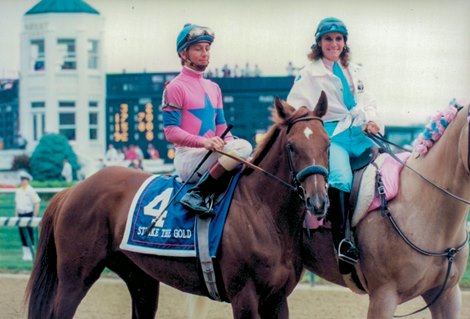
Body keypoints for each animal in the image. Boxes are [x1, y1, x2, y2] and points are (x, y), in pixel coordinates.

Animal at [25, 94, 330, 318]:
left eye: (327, 144)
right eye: (291, 147)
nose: (317, 202)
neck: (262, 213)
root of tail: (71, 190)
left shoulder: (277, 299)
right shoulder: (244, 296)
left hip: (140, 277)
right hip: (75, 276)